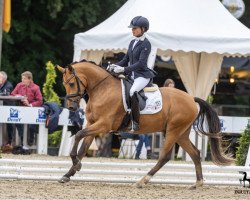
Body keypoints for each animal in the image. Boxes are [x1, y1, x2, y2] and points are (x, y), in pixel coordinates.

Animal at [56, 61, 232, 189]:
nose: (71, 107)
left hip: (173, 130)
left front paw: (76, 165)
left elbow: (78, 136)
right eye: (64, 84)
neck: (102, 89)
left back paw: (142, 181)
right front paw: (68, 174)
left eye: (71, 83)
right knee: (195, 153)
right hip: (181, 133)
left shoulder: (103, 125)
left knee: (164, 157)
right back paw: (198, 183)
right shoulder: (92, 124)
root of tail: (191, 98)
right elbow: (82, 148)